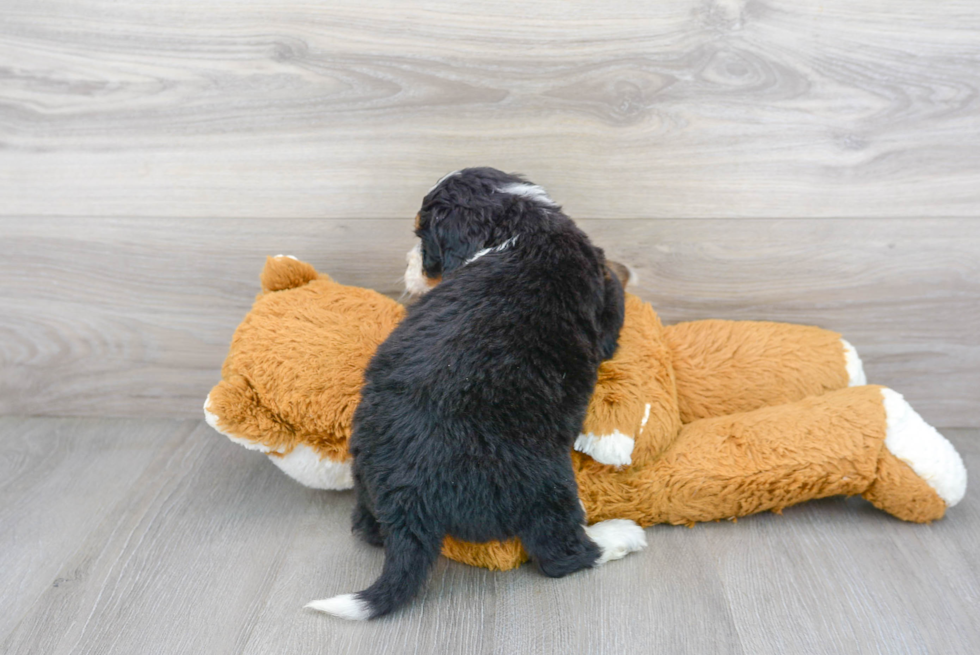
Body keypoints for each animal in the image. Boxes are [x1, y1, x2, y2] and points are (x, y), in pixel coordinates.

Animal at [306, 168, 644, 620]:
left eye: (422, 237)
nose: (408, 266)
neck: (519, 224)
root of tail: (409, 504)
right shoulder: (602, 297)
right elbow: (615, 302)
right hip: (542, 481)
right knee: (560, 552)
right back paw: (619, 535)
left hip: (364, 466)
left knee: (365, 528)